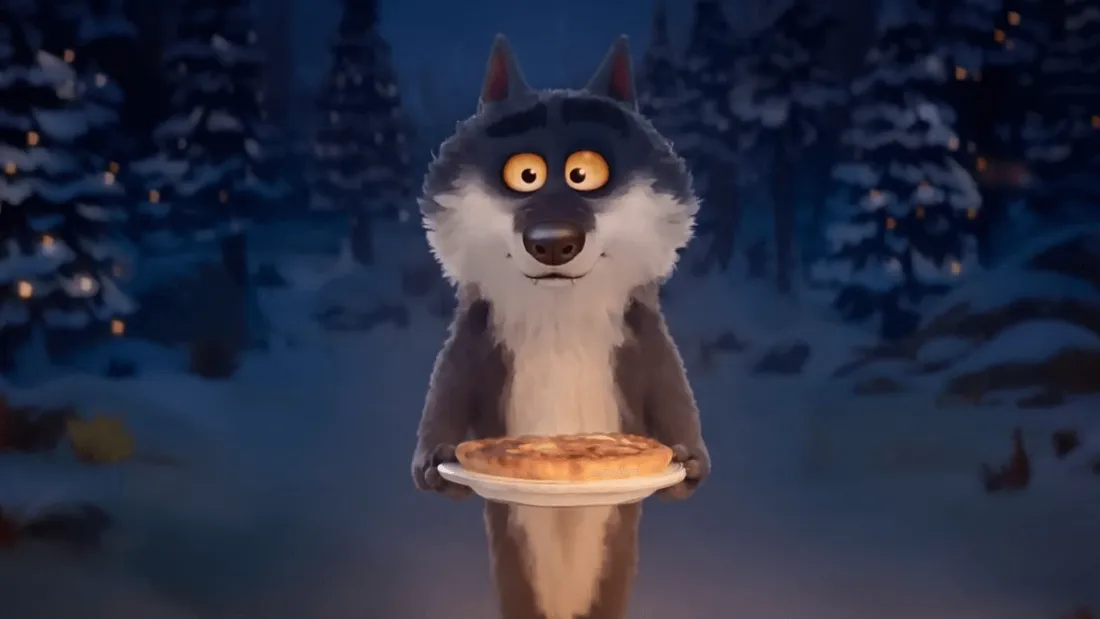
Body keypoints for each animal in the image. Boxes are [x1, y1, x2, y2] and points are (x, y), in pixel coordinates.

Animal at [411, 34, 710, 619]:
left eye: (584, 173)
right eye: (523, 174)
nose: (553, 242)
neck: (560, 314)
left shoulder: (641, 334)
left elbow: (671, 387)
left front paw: (688, 462)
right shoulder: (478, 333)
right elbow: (449, 386)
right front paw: (435, 461)